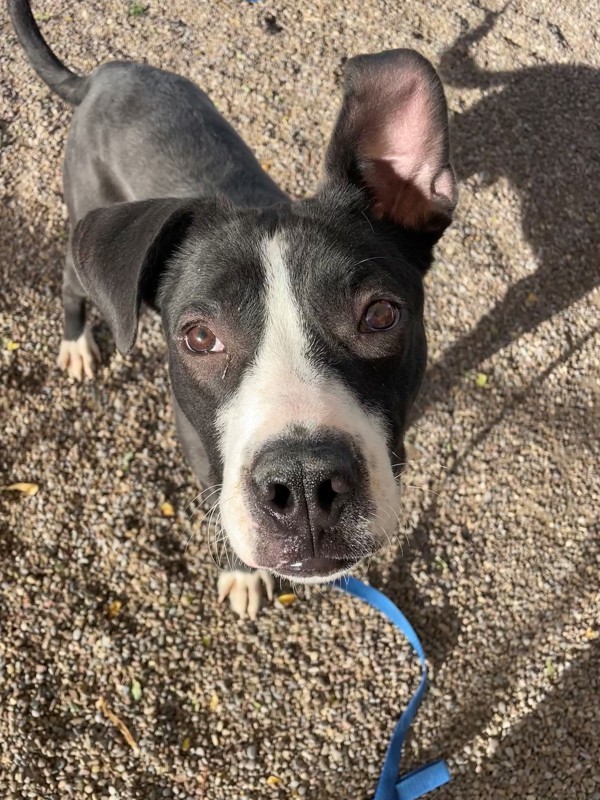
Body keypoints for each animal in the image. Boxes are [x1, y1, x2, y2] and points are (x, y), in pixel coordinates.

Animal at [9, 0, 458, 620]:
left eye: (381, 315)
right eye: (199, 337)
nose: (304, 483)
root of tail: (103, 75)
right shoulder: (199, 446)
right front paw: (244, 575)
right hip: (84, 221)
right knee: (71, 285)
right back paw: (77, 343)